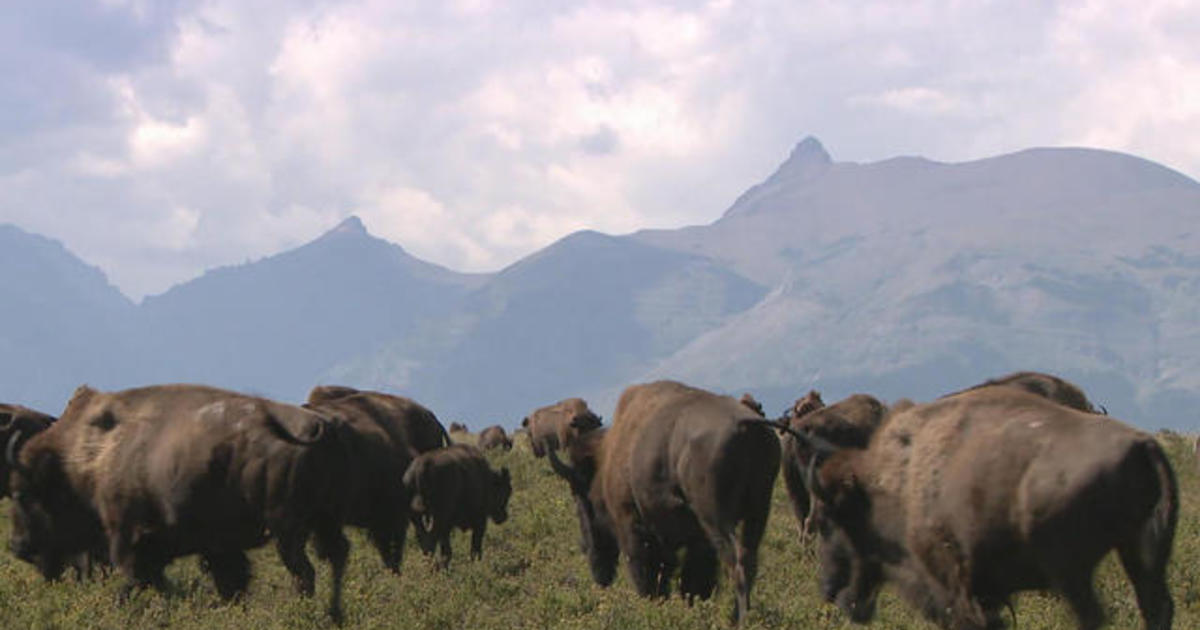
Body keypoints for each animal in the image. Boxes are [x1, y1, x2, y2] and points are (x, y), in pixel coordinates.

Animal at [7, 384, 350, 619]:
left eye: (23, 493)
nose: (18, 546)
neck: (88, 456)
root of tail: (317, 426)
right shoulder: (215, 547)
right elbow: (230, 582)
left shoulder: (129, 540)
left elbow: (137, 581)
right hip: (322, 522)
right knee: (335, 558)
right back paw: (333, 616)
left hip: (287, 530)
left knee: (304, 572)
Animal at [544, 381, 777, 619]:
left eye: (579, 494)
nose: (586, 548)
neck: (606, 459)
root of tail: (747, 423)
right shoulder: (696, 540)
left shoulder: (633, 526)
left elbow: (648, 573)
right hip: (758, 510)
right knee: (749, 558)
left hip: (716, 518)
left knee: (736, 561)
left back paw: (738, 619)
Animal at [806, 386, 1171, 624]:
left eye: (830, 518)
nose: (829, 589)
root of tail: (1144, 445)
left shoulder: (956, 587)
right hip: (1139, 557)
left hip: (1072, 570)